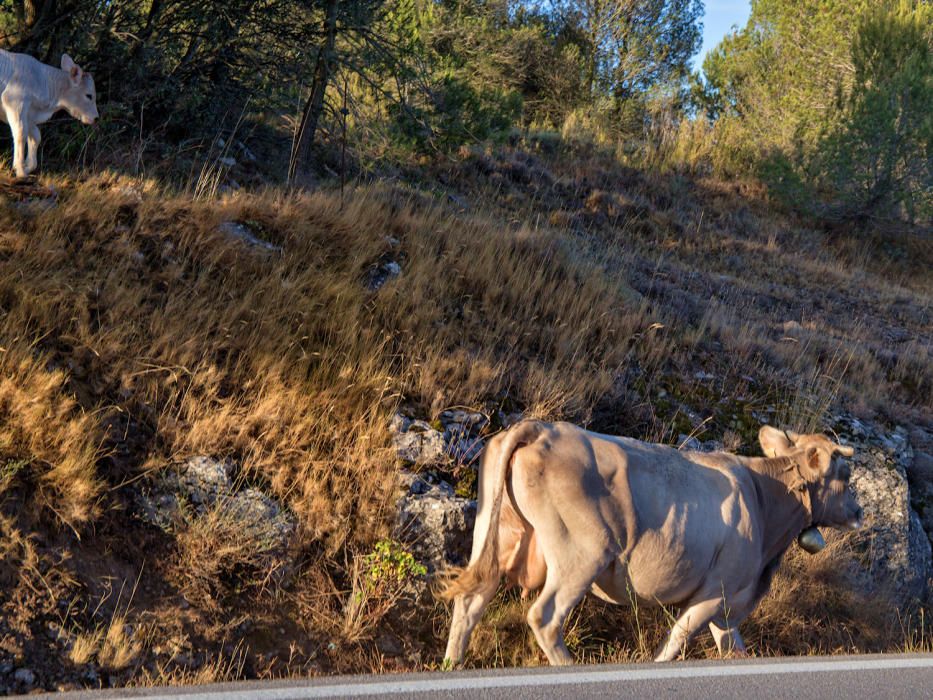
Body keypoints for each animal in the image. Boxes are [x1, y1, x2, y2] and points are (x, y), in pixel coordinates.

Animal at [440, 418, 864, 664]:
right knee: (544, 617)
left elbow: (733, 647)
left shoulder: (729, 600)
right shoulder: (718, 588)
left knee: (471, 599)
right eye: (844, 475)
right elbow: (677, 639)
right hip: (583, 552)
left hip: (495, 531)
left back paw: (451, 664)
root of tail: (541, 427)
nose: (859, 511)